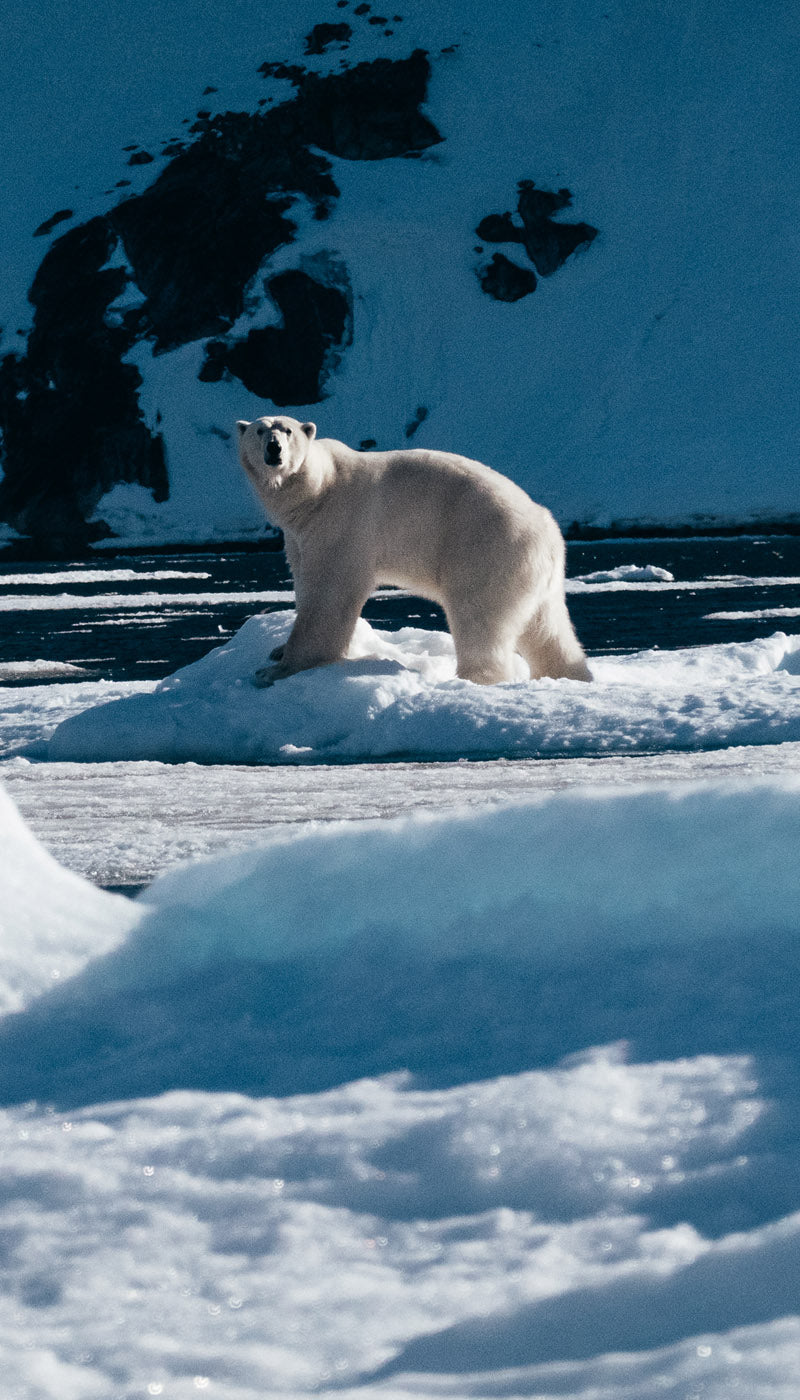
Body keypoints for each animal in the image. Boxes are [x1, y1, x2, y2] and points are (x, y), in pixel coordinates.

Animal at [235, 411, 591, 686]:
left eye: (287, 430)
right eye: (260, 429)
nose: (274, 449)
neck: (316, 491)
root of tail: (547, 529)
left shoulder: (341, 524)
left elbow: (328, 593)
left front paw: (275, 670)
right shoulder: (299, 536)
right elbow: (305, 581)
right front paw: (278, 650)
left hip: (486, 550)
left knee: (479, 618)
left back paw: (473, 678)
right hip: (534, 573)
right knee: (547, 628)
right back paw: (572, 674)